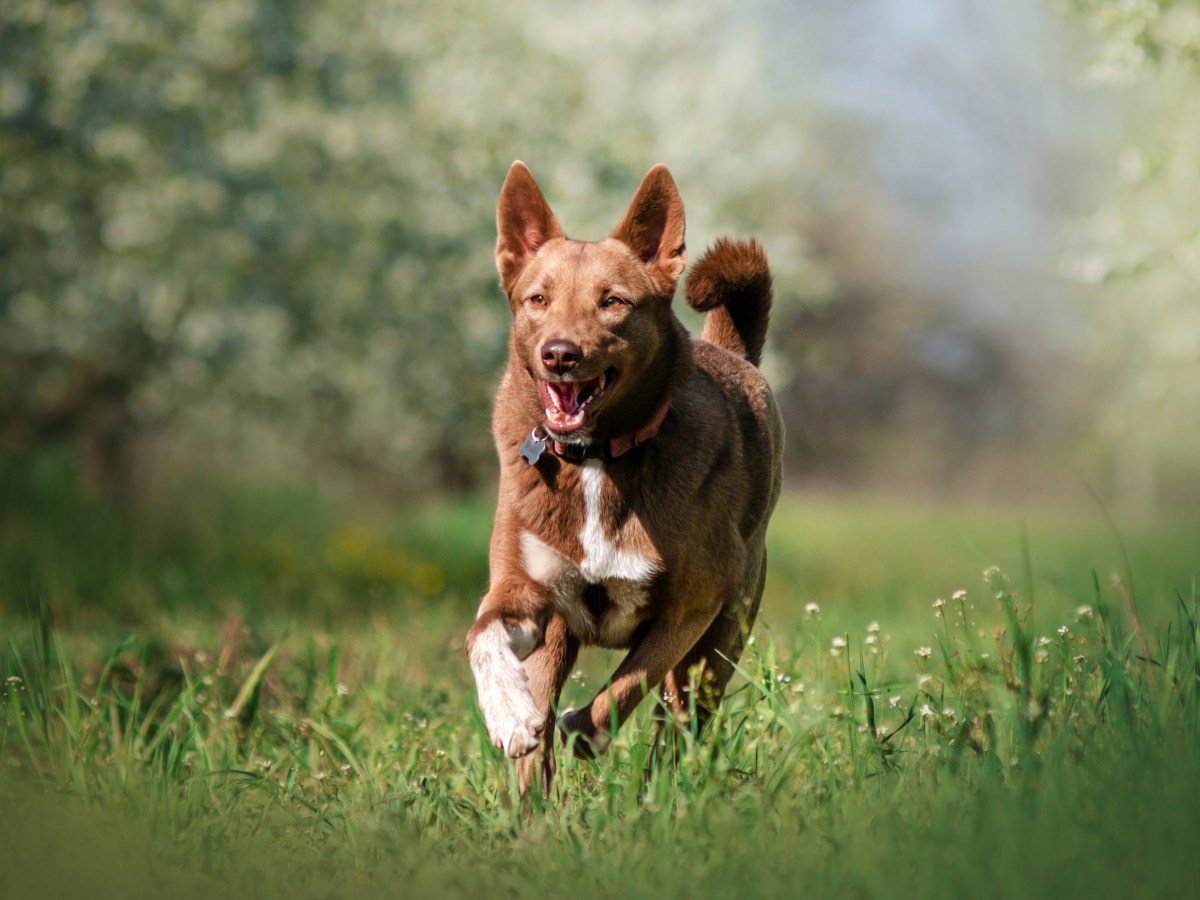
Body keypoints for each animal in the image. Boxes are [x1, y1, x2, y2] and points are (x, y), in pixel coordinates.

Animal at [463, 162, 782, 796]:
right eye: (538, 298)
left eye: (613, 301)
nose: (560, 353)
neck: (595, 458)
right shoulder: (524, 589)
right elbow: (482, 634)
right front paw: (509, 715)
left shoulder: (691, 607)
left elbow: (629, 682)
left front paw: (583, 730)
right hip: (557, 637)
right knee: (543, 711)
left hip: (720, 644)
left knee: (677, 722)